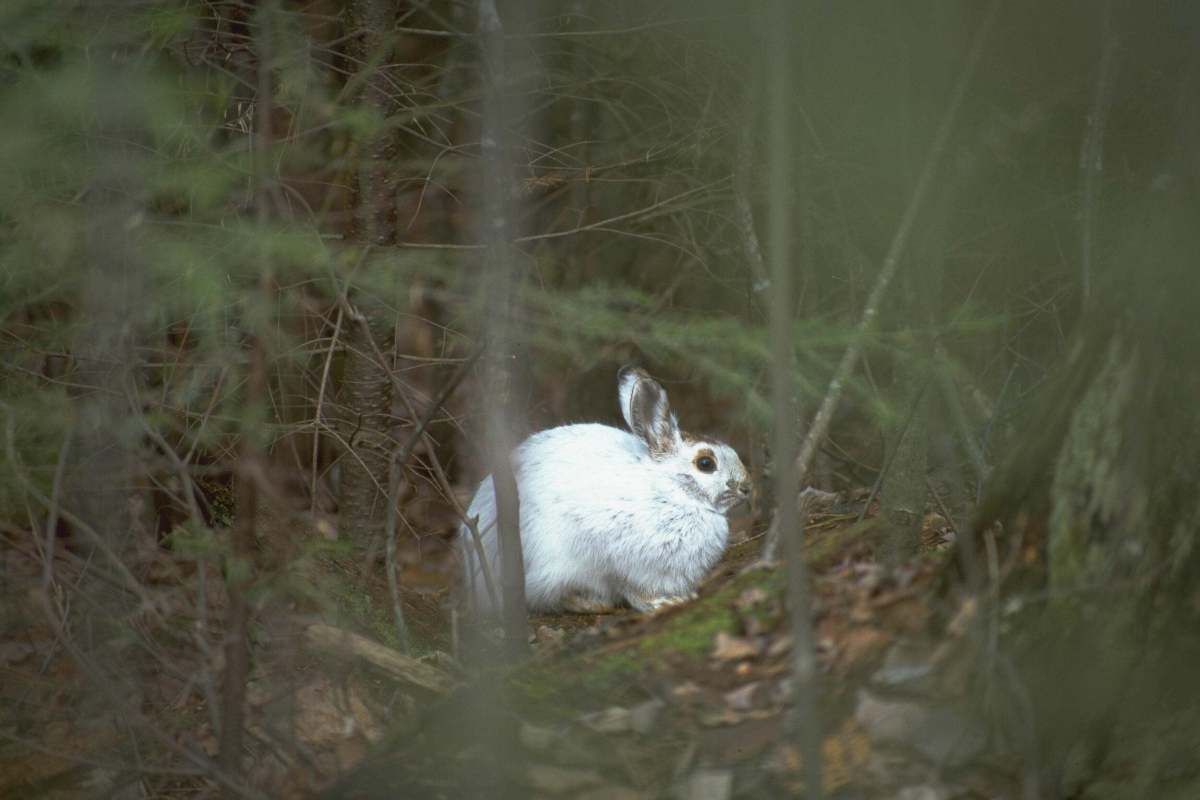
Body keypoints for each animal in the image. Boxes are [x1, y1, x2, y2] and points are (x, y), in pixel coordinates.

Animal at [459, 366, 751, 615]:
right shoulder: (621, 561)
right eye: (706, 464)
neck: (671, 490)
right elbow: (631, 588)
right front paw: (664, 603)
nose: (747, 486)